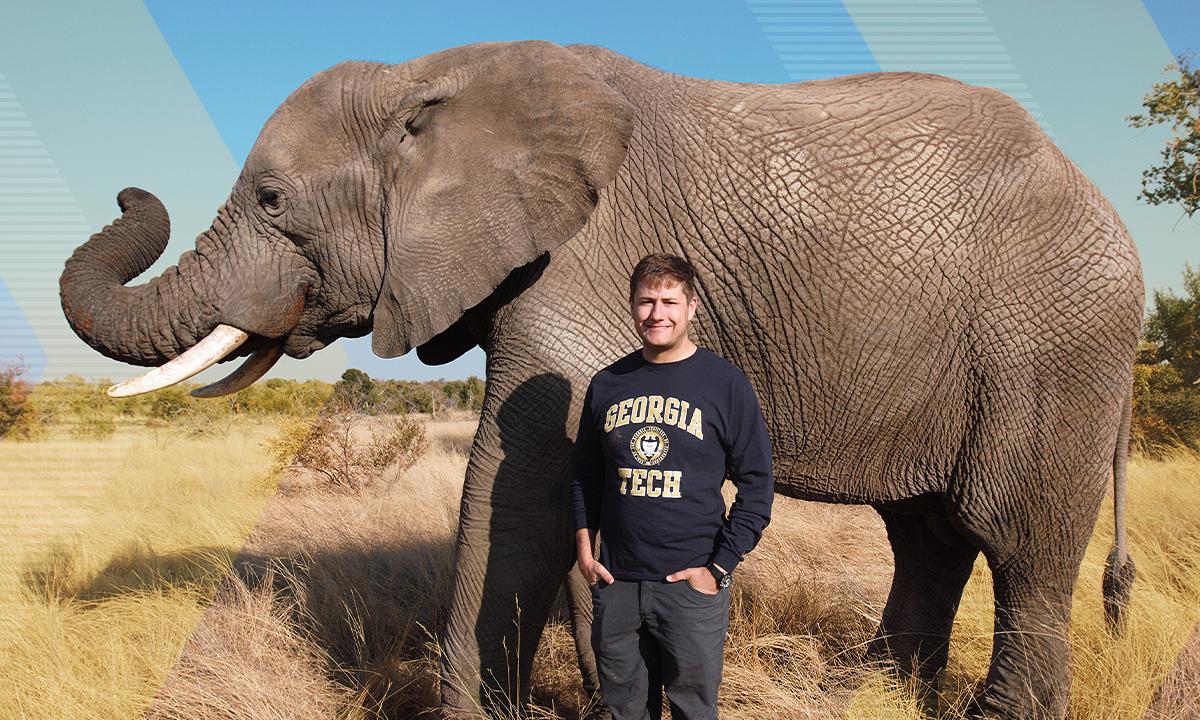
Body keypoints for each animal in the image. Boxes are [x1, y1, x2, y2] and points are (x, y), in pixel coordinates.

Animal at [58, 40, 1142, 720]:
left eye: (274, 200)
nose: (127, 187)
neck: (432, 77)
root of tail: (1104, 202)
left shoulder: (579, 261)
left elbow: (520, 488)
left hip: (1053, 346)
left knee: (1016, 544)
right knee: (928, 537)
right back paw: (865, 699)